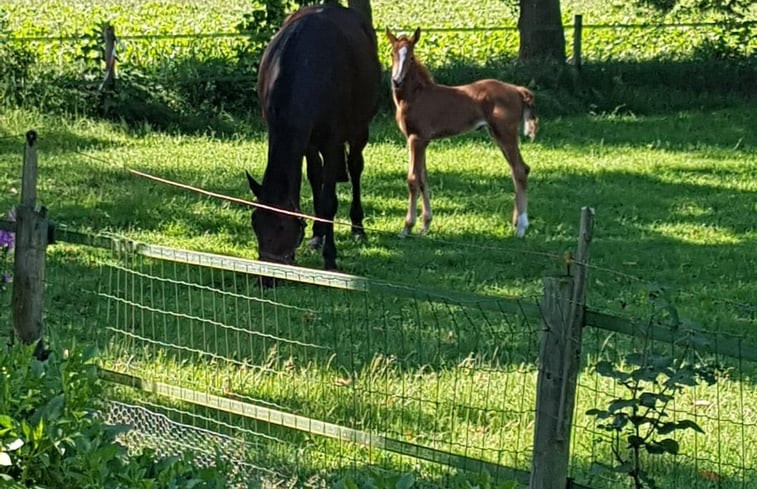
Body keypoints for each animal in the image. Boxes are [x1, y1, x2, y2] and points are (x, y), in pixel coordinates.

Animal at [247, 3, 380, 268]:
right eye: (255, 222)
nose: (267, 274)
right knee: (317, 174)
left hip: (359, 129)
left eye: (283, 226)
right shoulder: (303, 139)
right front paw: (318, 236)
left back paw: (357, 227)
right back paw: (319, 235)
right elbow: (314, 179)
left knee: (355, 166)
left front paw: (330, 258)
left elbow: (329, 201)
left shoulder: (332, 141)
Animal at [384, 27, 536, 237]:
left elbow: (413, 179)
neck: (416, 96)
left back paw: (521, 228)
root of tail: (518, 90)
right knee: (517, 170)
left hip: (505, 134)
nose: (396, 81)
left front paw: (407, 227)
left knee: (520, 170)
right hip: (497, 135)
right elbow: (423, 179)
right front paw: (425, 225)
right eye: (392, 54)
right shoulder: (419, 140)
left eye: (412, 57)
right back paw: (515, 222)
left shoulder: (417, 139)